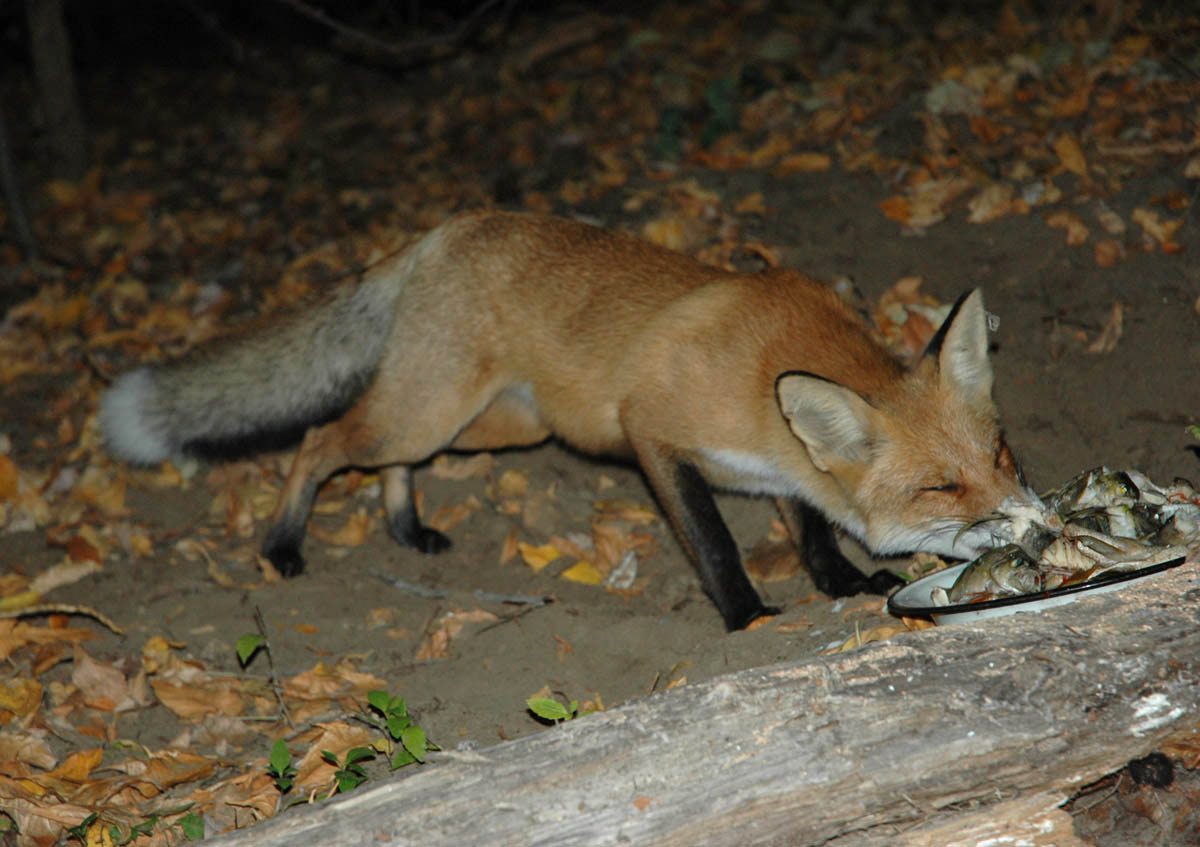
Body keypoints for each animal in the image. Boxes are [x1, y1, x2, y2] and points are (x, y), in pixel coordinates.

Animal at [101, 210, 1030, 630]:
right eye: (941, 488)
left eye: (1000, 452)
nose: (1031, 520)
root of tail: (443, 229)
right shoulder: (651, 431)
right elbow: (715, 542)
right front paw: (746, 617)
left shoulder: (784, 464)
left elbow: (810, 531)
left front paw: (840, 583)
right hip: (429, 412)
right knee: (320, 438)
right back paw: (283, 543)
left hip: (489, 425)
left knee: (389, 460)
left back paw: (407, 527)